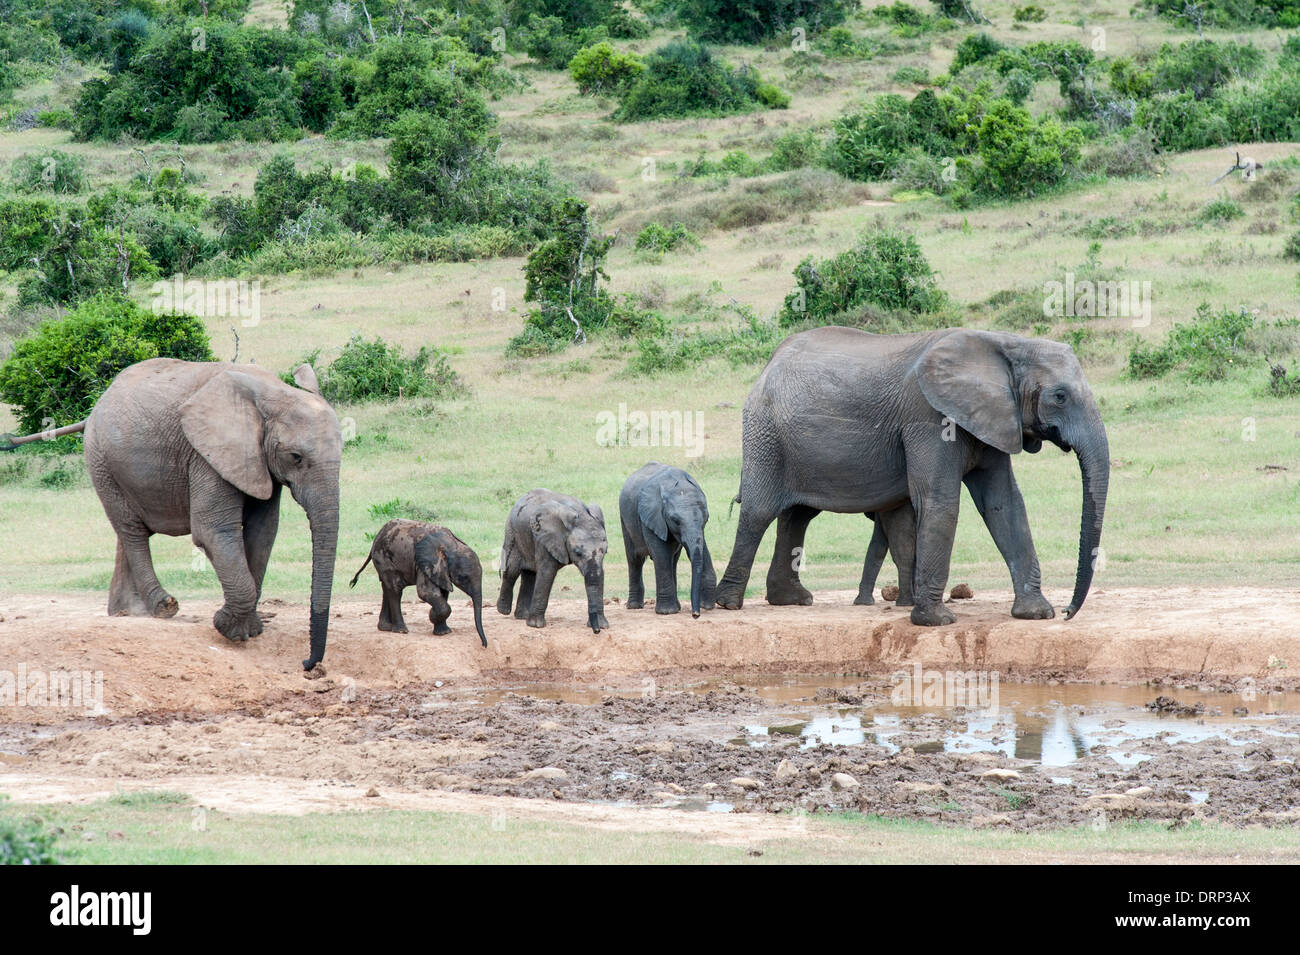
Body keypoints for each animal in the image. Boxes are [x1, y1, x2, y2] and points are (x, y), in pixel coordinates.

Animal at [83, 358, 343, 670]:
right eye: (296, 457)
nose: (307, 663)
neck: (274, 392)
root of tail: (103, 398)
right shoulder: (207, 455)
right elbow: (213, 531)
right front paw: (230, 629)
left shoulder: (258, 462)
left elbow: (263, 531)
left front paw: (250, 629)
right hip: (100, 460)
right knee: (132, 531)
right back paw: (162, 607)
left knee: (127, 532)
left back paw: (129, 612)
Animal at [501, 488, 613, 631]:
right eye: (578, 553)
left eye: (605, 551)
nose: (596, 631)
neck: (581, 515)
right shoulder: (546, 538)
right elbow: (547, 573)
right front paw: (536, 626)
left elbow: (600, 575)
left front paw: (603, 626)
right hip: (512, 532)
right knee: (512, 571)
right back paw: (503, 611)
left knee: (530, 574)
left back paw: (522, 616)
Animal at [621, 462, 722, 621]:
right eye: (675, 520)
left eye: (706, 519)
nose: (696, 615)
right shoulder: (651, 516)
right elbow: (661, 554)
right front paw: (667, 612)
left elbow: (700, 548)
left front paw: (707, 606)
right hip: (625, 520)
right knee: (635, 559)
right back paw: (634, 607)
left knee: (673, 560)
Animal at [717, 328, 1112, 628]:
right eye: (1059, 396)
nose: (1068, 612)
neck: (1005, 343)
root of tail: (769, 365)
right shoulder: (929, 418)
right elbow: (940, 501)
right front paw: (936, 621)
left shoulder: (994, 418)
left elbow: (1005, 504)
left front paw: (1036, 614)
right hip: (764, 432)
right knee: (759, 511)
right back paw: (728, 603)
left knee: (797, 516)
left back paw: (790, 600)